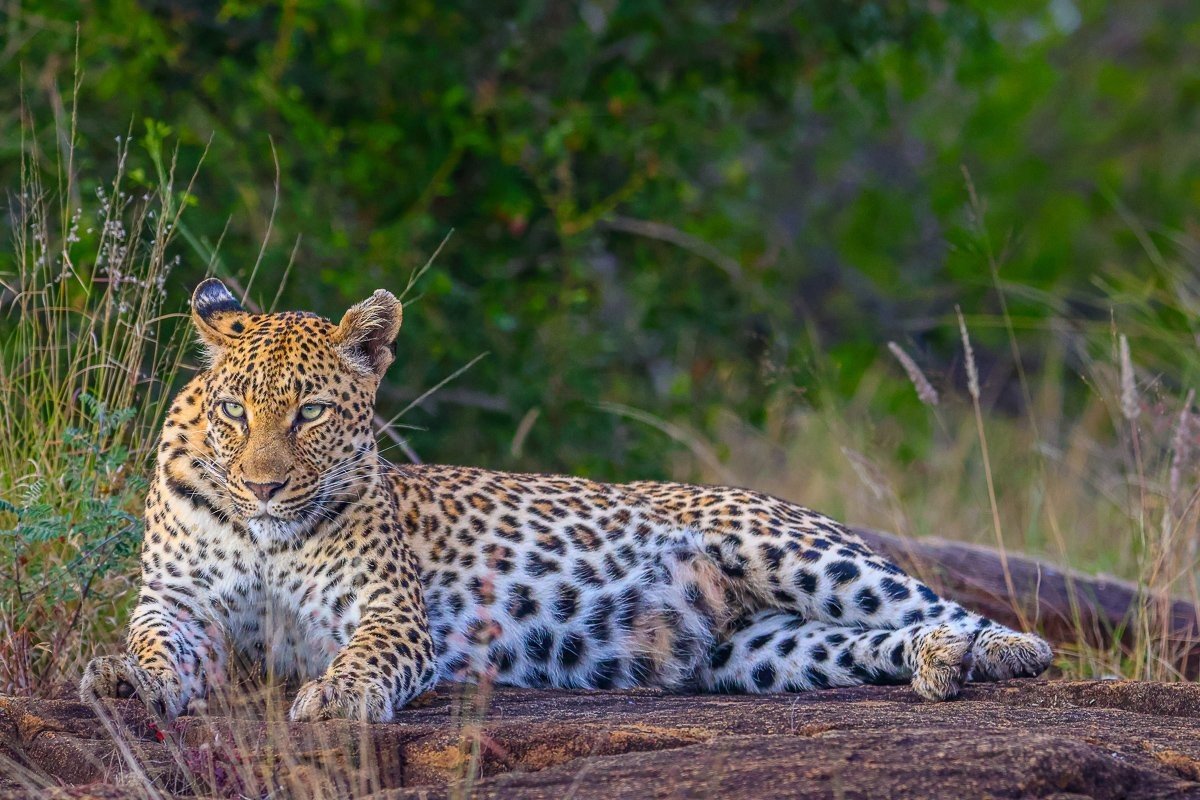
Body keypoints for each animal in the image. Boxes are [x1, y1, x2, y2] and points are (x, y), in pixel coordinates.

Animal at [80, 278, 1053, 723]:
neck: (265, 534)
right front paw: (127, 677)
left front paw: (341, 697)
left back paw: (998, 654)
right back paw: (938, 664)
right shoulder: (179, 603)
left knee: (957, 609)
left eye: (310, 411)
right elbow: (155, 641)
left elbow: (367, 657)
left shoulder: (389, 611)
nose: (263, 484)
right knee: (866, 643)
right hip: (761, 651)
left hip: (796, 549)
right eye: (235, 412)